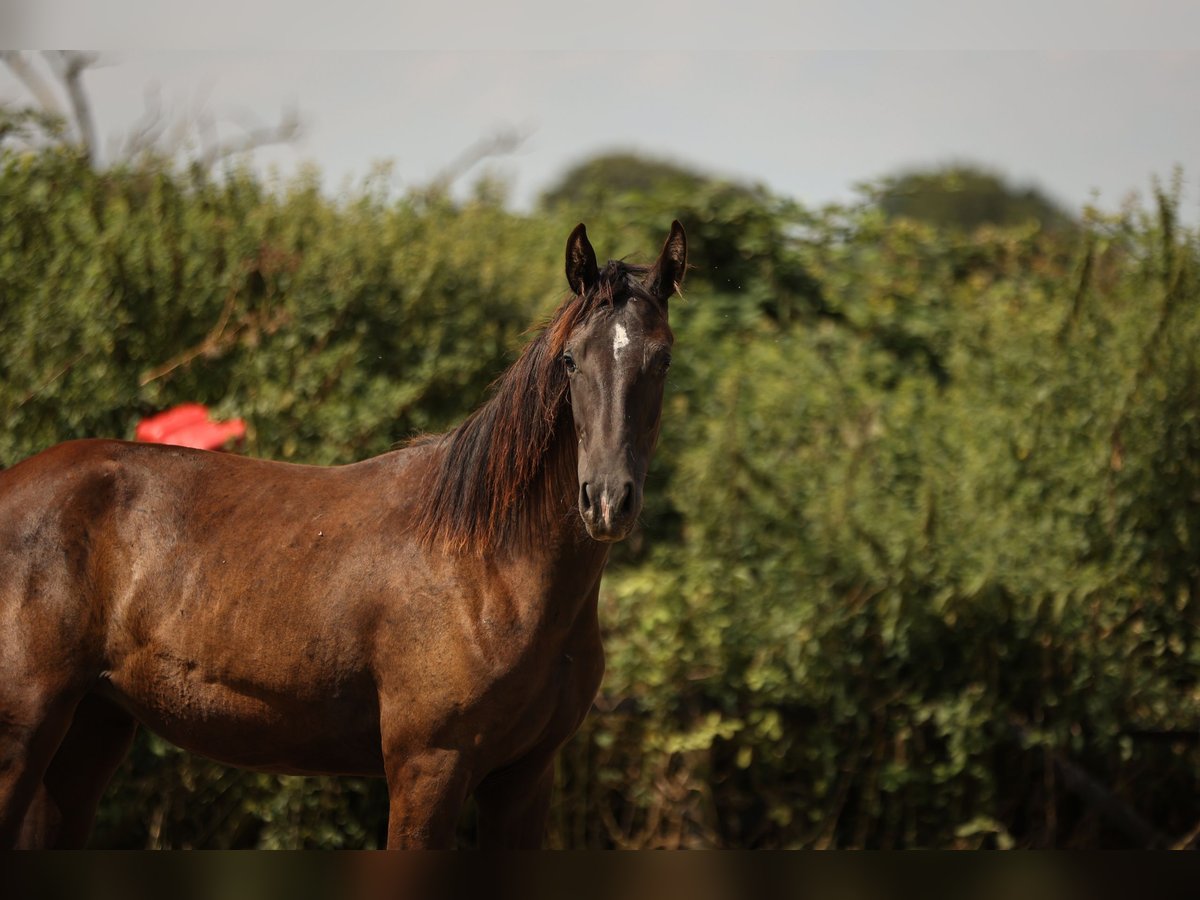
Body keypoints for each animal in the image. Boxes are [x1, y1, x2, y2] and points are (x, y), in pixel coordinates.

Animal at [0, 222, 691, 849]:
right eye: (571, 359)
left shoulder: (524, 780)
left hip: (89, 732)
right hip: (25, 735)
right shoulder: (428, 769)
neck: (494, 570)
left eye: (662, 359)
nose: (607, 501)